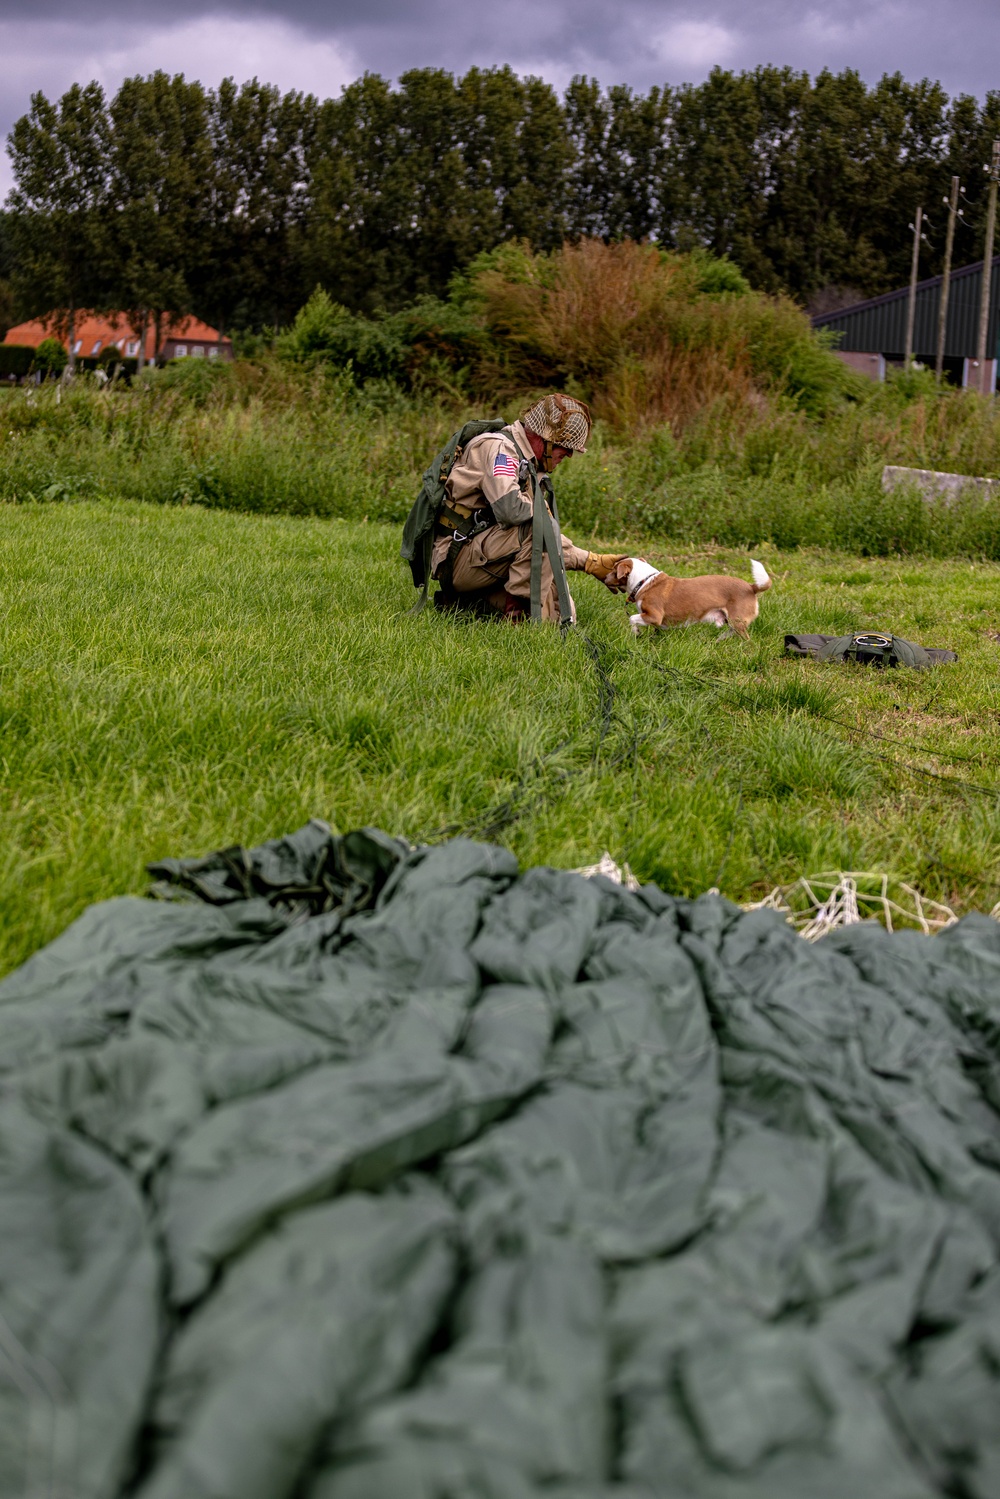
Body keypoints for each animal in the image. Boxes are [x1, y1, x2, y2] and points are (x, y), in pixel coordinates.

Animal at [602, 557, 773, 638]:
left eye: (613, 570)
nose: (604, 578)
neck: (643, 581)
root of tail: (751, 587)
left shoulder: (654, 616)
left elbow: (632, 618)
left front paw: (636, 632)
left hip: (737, 620)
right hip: (731, 621)